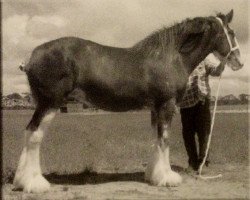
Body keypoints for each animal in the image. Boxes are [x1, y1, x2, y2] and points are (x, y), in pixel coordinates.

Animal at [13, 9, 242, 192]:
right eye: (230, 33)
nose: (238, 61)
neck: (170, 56)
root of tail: (31, 57)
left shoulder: (155, 108)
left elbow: (156, 138)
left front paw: (153, 175)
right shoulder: (167, 105)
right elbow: (164, 139)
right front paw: (167, 178)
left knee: (28, 132)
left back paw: (21, 181)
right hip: (49, 104)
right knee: (34, 135)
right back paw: (35, 183)